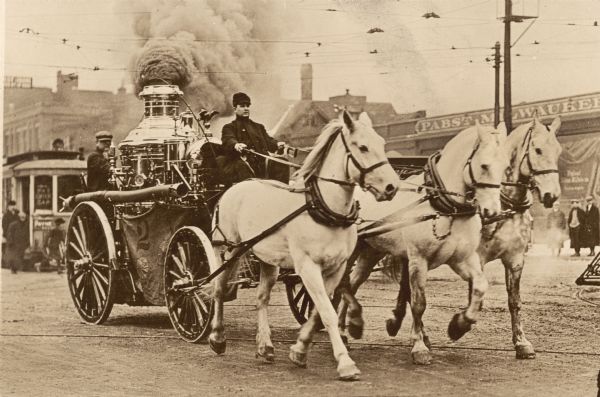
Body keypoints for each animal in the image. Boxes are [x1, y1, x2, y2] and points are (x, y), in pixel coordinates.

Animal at [209, 110, 400, 378]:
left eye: (382, 144)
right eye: (362, 147)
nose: (392, 187)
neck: (323, 208)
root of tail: (236, 187)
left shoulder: (337, 268)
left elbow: (320, 311)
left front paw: (299, 350)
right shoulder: (308, 268)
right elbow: (328, 312)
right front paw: (345, 362)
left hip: (268, 260)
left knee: (261, 298)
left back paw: (265, 346)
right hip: (227, 251)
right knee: (217, 290)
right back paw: (217, 337)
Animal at [336, 122, 508, 364]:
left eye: (506, 166)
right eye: (484, 165)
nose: (492, 212)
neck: (447, 208)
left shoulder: (462, 259)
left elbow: (480, 286)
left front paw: (459, 325)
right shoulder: (419, 259)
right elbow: (419, 302)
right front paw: (419, 347)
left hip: (371, 252)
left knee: (352, 283)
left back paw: (348, 327)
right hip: (352, 250)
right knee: (342, 284)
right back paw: (343, 329)